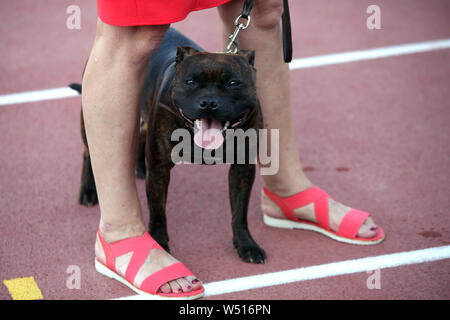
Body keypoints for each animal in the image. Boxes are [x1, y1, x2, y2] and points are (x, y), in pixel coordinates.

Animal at [75, 26, 266, 262]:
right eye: (190, 82)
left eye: (233, 83)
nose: (209, 102)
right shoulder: (160, 170)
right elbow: (158, 211)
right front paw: (158, 243)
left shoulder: (242, 169)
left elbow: (239, 212)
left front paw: (246, 244)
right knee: (89, 151)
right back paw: (88, 191)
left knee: (141, 134)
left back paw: (139, 166)